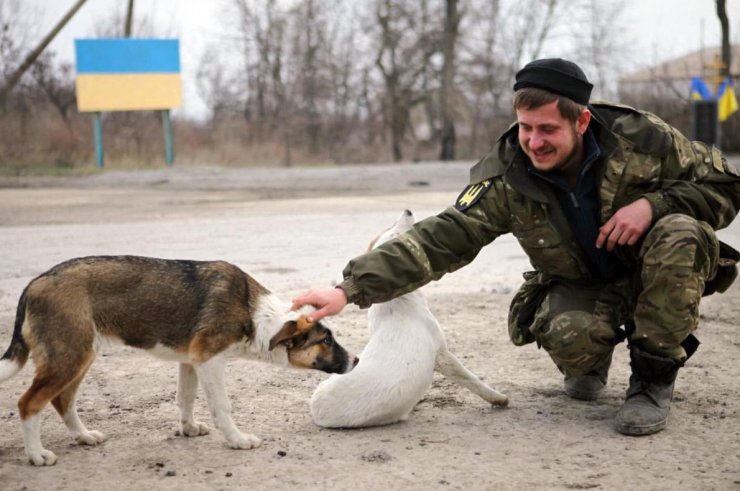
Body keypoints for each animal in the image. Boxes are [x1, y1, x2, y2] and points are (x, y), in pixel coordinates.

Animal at [0, 256, 358, 468]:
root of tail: (36, 282)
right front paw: (237, 440)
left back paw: (84, 437)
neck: (255, 316)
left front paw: (187, 429)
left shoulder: (191, 362)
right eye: (326, 341)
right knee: (29, 403)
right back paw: (36, 455)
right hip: (70, 358)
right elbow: (222, 407)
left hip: (78, 356)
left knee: (62, 401)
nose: (356, 360)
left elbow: (185, 399)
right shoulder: (210, 361)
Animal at [310, 209, 506, 428]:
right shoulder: (443, 355)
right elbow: (472, 380)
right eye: (396, 234)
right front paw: (499, 398)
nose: (408, 210)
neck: (398, 300)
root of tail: (318, 412)